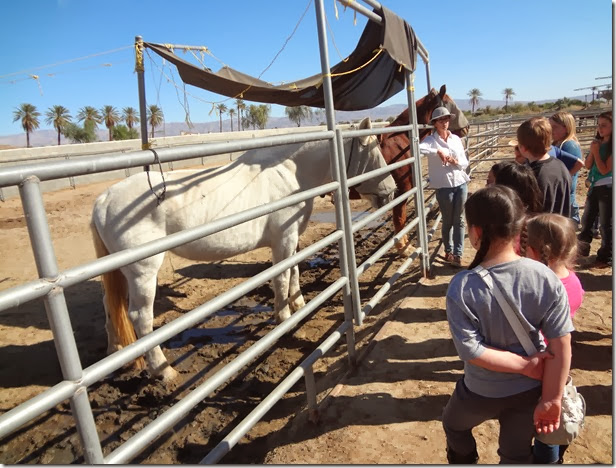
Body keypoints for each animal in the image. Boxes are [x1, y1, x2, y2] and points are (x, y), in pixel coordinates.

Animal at [90, 117, 396, 381]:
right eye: (373, 151)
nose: (391, 190)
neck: (291, 173)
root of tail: (103, 201)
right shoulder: (283, 239)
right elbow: (282, 277)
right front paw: (285, 318)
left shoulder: (290, 238)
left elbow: (294, 271)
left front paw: (299, 304)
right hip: (143, 272)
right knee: (140, 318)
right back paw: (163, 370)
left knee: (110, 305)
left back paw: (116, 351)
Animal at [350, 85, 469, 255]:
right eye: (447, 102)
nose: (466, 128)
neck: (401, 140)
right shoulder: (402, 190)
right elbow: (400, 218)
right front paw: (404, 248)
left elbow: (402, 217)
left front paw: (404, 245)